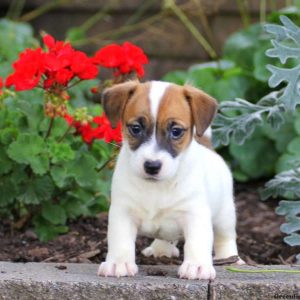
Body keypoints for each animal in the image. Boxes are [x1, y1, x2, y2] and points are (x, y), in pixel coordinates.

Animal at [97, 81, 243, 280]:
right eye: (136, 128)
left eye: (176, 131)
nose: (152, 166)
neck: (157, 187)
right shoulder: (123, 212)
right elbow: (120, 239)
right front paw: (119, 263)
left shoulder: (195, 214)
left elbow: (197, 242)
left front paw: (197, 265)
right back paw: (161, 249)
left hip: (225, 215)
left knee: (225, 237)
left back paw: (229, 258)